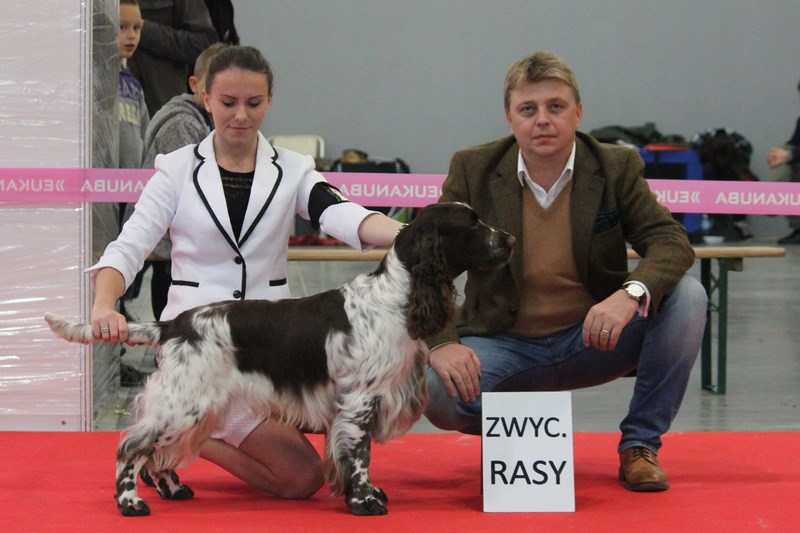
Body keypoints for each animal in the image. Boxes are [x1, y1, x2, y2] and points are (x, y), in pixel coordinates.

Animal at [44, 202, 515, 517]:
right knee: (132, 446)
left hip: (195, 406)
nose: (510, 239)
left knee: (159, 452)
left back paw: (174, 489)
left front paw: (366, 494)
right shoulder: (360, 400)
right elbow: (360, 455)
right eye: (472, 224)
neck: (397, 296)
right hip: (185, 402)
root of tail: (174, 323)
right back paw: (130, 502)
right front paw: (364, 500)